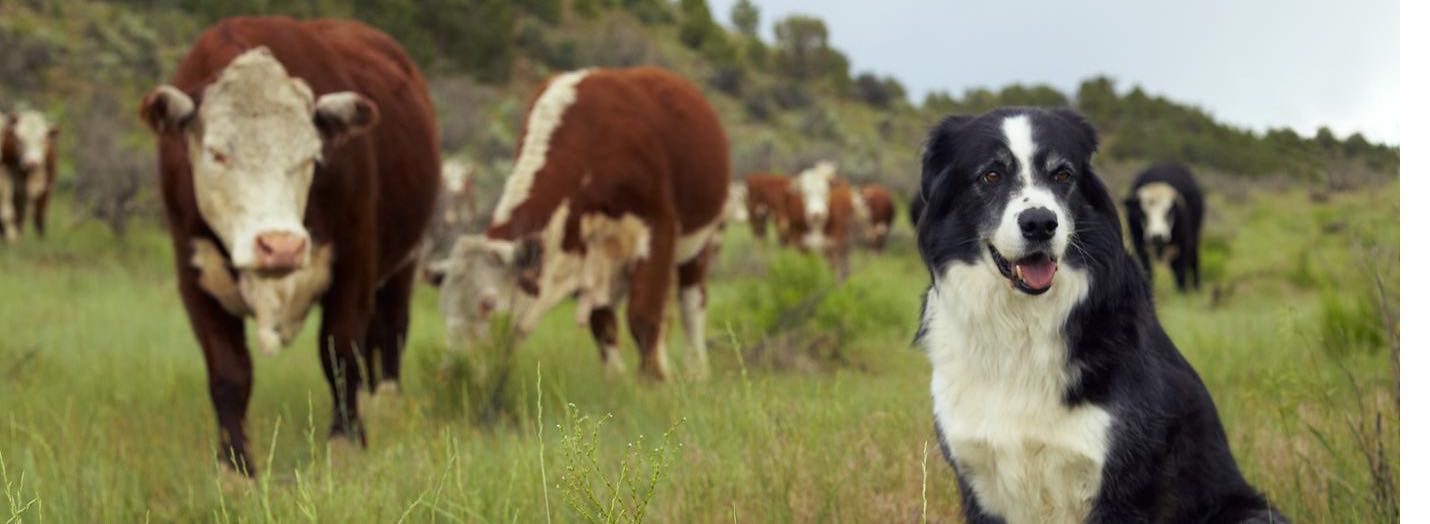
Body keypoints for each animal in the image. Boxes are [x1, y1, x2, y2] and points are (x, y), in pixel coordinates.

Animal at [0, 110, 58, 243]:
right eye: (19, 139)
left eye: (42, 138)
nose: (31, 162)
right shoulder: (11, 185)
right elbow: (10, 213)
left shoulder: (46, 188)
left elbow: (39, 215)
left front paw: (40, 241)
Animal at [140, 16, 440, 475]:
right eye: (216, 154)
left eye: (312, 156)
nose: (280, 246)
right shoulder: (195, 278)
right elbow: (228, 372)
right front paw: (236, 468)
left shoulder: (353, 264)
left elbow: (340, 353)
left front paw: (346, 445)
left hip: (401, 265)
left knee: (389, 333)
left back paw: (384, 406)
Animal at [434, 68, 726, 380]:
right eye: (445, 304)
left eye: (487, 304)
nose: (454, 372)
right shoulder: (593, 261)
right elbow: (603, 323)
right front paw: (616, 380)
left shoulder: (658, 227)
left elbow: (643, 315)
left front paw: (654, 381)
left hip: (697, 245)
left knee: (691, 303)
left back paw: (697, 371)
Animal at [1121, 162, 1201, 290]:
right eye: (1143, 212)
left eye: (1169, 211)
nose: (1157, 236)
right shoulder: (1141, 246)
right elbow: (1148, 270)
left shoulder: (1183, 243)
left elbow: (1181, 271)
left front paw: (1182, 293)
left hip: (1194, 235)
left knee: (1193, 260)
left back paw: (1196, 287)